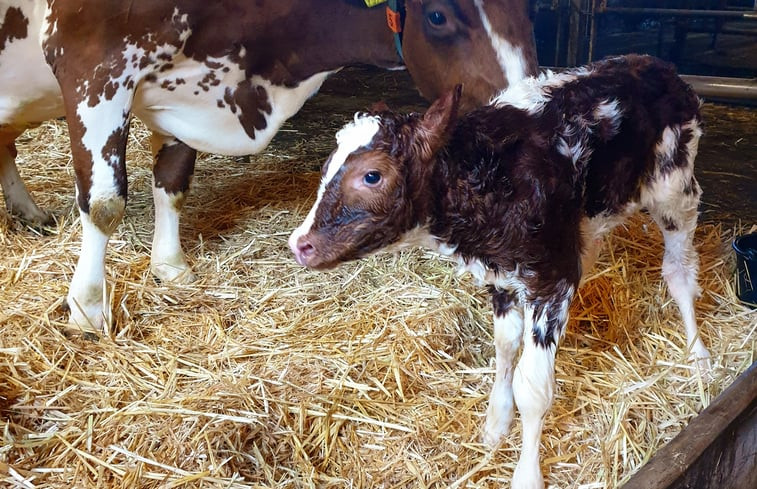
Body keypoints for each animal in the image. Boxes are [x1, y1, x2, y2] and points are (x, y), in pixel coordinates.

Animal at [0, 0, 536, 332]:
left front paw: (170, 266)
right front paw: (88, 308)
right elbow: (105, 203)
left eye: (527, 8)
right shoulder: (94, 64)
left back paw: (29, 212)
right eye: (439, 16)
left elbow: (172, 180)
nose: (522, 107)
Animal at [288, 54, 708, 488]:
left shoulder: (551, 279)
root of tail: (655, 64)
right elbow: (506, 347)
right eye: (325, 168)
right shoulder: (503, 277)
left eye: (372, 175)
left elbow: (534, 388)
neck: (489, 180)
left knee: (679, 272)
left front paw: (527, 473)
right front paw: (496, 423)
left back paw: (698, 356)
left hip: (675, 188)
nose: (300, 244)